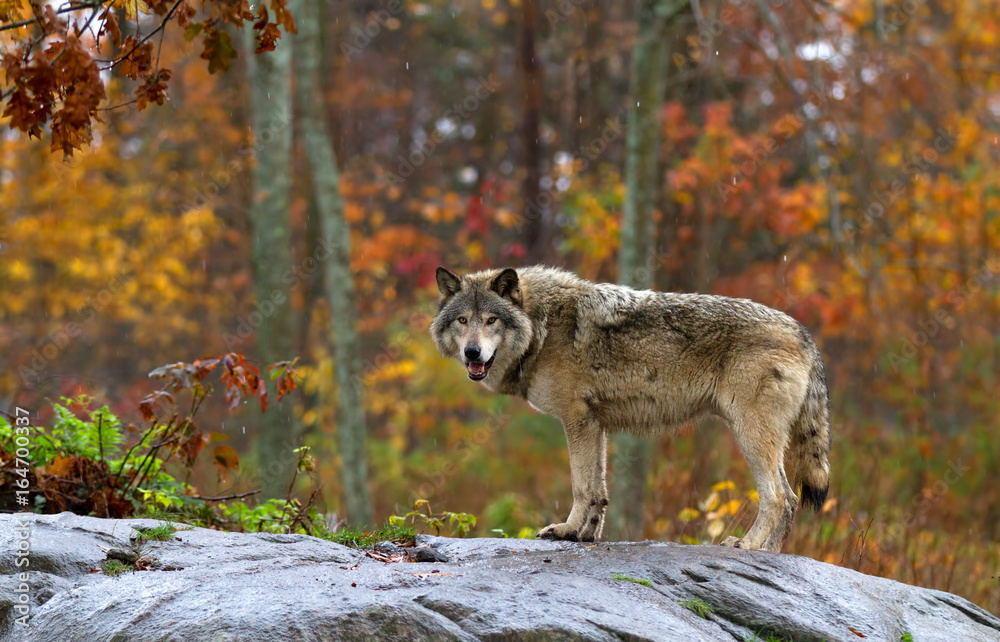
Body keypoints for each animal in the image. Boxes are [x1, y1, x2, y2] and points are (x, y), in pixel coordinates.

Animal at [430, 265, 831, 552]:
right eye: (462, 320)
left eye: (491, 320)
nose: (472, 353)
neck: (542, 328)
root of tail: (804, 333)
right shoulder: (595, 424)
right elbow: (599, 489)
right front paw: (585, 536)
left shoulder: (576, 419)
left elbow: (581, 487)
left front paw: (565, 529)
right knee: (791, 499)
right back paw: (769, 553)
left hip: (749, 436)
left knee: (777, 497)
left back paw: (746, 545)